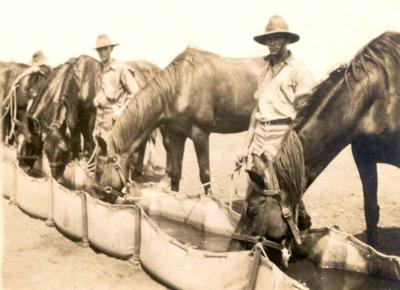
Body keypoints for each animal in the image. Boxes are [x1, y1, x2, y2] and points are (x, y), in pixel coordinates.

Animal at [95, 48, 268, 195]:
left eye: (100, 170)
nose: (100, 195)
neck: (180, 86)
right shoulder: (176, 135)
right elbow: (176, 173)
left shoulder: (200, 135)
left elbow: (205, 175)